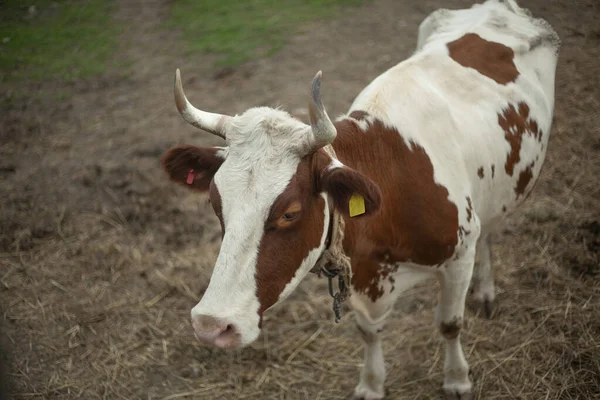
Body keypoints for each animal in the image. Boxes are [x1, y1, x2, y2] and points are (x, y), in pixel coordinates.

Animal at [159, 1, 556, 398]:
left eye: (289, 213)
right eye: (215, 203)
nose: (211, 325)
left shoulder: (458, 256)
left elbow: (449, 323)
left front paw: (457, 378)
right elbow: (368, 332)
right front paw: (371, 383)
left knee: (488, 233)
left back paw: (485, 291)